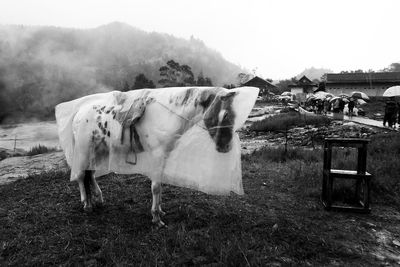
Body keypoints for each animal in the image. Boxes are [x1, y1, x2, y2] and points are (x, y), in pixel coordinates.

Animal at [54, 87, 258, 227]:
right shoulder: (157, 156)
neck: (167, 115)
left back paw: (98, 198)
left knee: (90, 174)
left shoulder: (163, 157)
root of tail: (79, 113)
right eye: (224, 114)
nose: (225, 147)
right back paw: (87, 204)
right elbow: (156, 187)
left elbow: (159, 187)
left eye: (233, 114)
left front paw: (160, 211)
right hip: (84, 150)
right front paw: (156, 218)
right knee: (81, 175)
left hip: (97, 149)